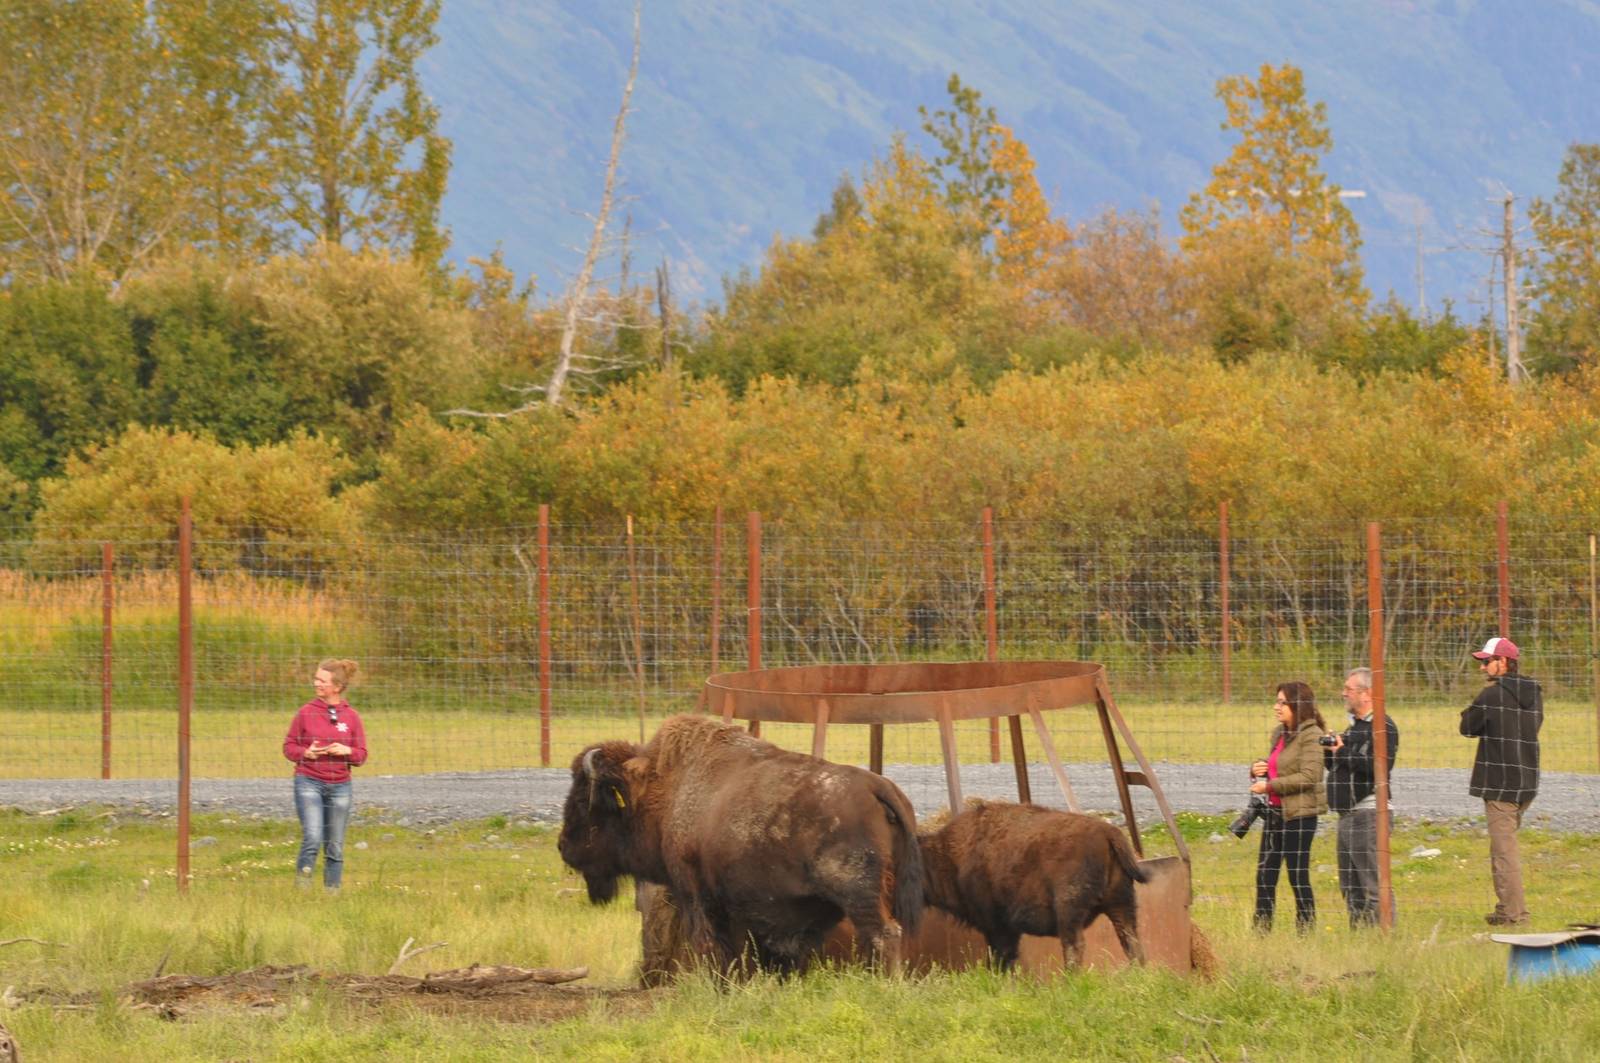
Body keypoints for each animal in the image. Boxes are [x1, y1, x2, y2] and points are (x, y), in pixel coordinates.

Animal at [558, 714, 923, 975]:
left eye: (583, 799)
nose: (563, 847)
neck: (664, 790)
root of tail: (877, 785)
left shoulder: (696, 895)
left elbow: (712, 948)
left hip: (858, 894)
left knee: (883, 935)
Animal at [920, 799, 1148, 969]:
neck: (949, 855)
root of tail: (1108, 833)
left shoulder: (998, 926)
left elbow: (1000, 957)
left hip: (1069, 908)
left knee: (1074, 945)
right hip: (1121, 904)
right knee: (1131, 942)